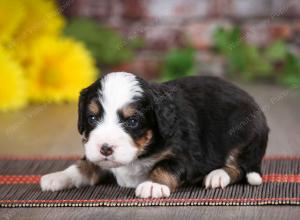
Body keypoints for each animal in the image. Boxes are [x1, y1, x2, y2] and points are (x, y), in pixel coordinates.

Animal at [40, 72, 270, 198]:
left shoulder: (186, 154)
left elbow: (165, 166)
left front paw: (153, 184)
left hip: (244, 135)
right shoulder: (96, 157)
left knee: (239, 167)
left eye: (133, 121)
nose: (105, 148)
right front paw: (57, 177)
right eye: (93, 118)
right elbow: (83, 165)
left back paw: (217, 176)